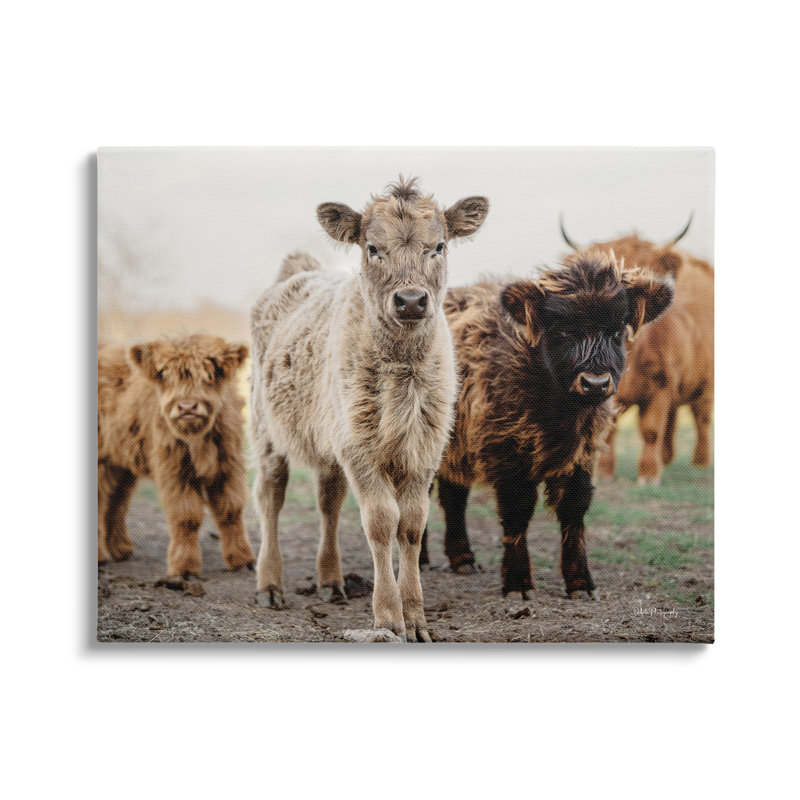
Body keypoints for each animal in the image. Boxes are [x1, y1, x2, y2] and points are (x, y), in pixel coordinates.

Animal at [97, 335, 254, 587]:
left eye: (209, 375)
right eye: (165, 375)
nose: (187, 407)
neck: (197, 438)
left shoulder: (228, 466)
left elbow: (230, 510)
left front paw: (243, 561)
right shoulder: (174, 470)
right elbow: (186, 517)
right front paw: (184, 569)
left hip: (120, 461)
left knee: (117, 500)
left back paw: (121, 550)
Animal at [249, 177, 489, 641]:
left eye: (439, 246)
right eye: (373, 248)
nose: (411, 301)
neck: (403, 375)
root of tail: (299, 272)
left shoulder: (424, 449)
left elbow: (411, 525)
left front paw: (416, 617)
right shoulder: (360, 450)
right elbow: (381, 522)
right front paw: (389, 617)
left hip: (332, 437)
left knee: (328, 502)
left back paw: (331, 581)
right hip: (267, 430)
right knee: (271, 496)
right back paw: (269, 584)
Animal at [419, 251, 673, 598]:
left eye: (616, 330)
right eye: (563, 330)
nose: (595, 383)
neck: (560, 414)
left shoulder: (583, 454)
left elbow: (574, 508)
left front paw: (580, 582)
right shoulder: (507, 451)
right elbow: (517, 511)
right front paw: (517, 583)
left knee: (453, 496)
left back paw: (463, 560)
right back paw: (419, 560)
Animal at [560, 216, 714, 484]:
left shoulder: (662, 385)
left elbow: (651, 429)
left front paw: (649, 475)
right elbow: (609, 431)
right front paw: (604, 473)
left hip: (705, 384)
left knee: (702, 418)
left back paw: (700, 463)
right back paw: (667, 459)